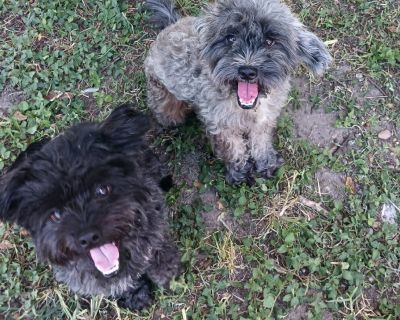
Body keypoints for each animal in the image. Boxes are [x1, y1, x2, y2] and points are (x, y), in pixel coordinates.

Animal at [0, 104, 179, 310]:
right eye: (55, 214)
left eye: (102, 190)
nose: (88, 237)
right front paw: (135, 293)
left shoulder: (155, 223)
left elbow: (157, 249)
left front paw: (166, 273)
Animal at [144, 0, 332, 184]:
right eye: (230, 38)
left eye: (269, 41)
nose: (247, 71)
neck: (247, 108)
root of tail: (171, 24)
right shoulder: (221, 125)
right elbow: (233, 147)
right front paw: (239, 171)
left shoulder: (264, 119)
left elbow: (261, 141)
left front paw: (266, 163)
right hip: (166, 103)